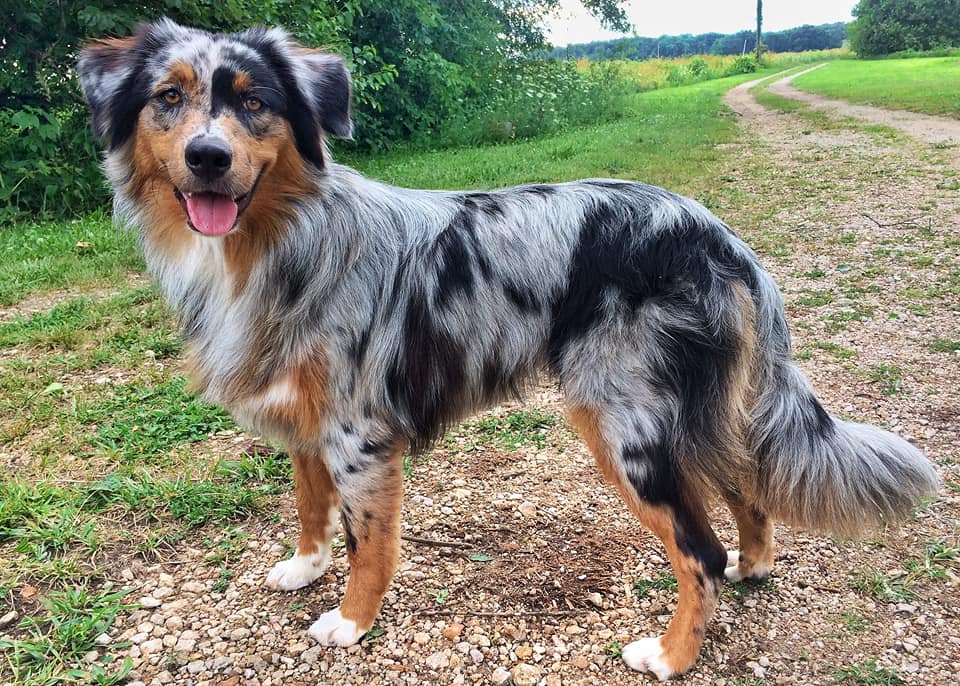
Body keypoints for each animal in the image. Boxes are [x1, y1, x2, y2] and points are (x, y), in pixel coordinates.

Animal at [80, 20, 936, 684]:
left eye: (254, 101)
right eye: (168, 98)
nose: (208, 157)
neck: (283, 236)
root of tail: (714, 232)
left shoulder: (359, 433)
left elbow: (368, 540)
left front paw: (351, 620)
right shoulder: (305, 415)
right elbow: (309, 501)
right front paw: (306, 565)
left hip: (624, 425)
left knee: (700, 550)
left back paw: (671, 655)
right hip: (693, 409)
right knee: (746, 489)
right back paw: (757, 568)